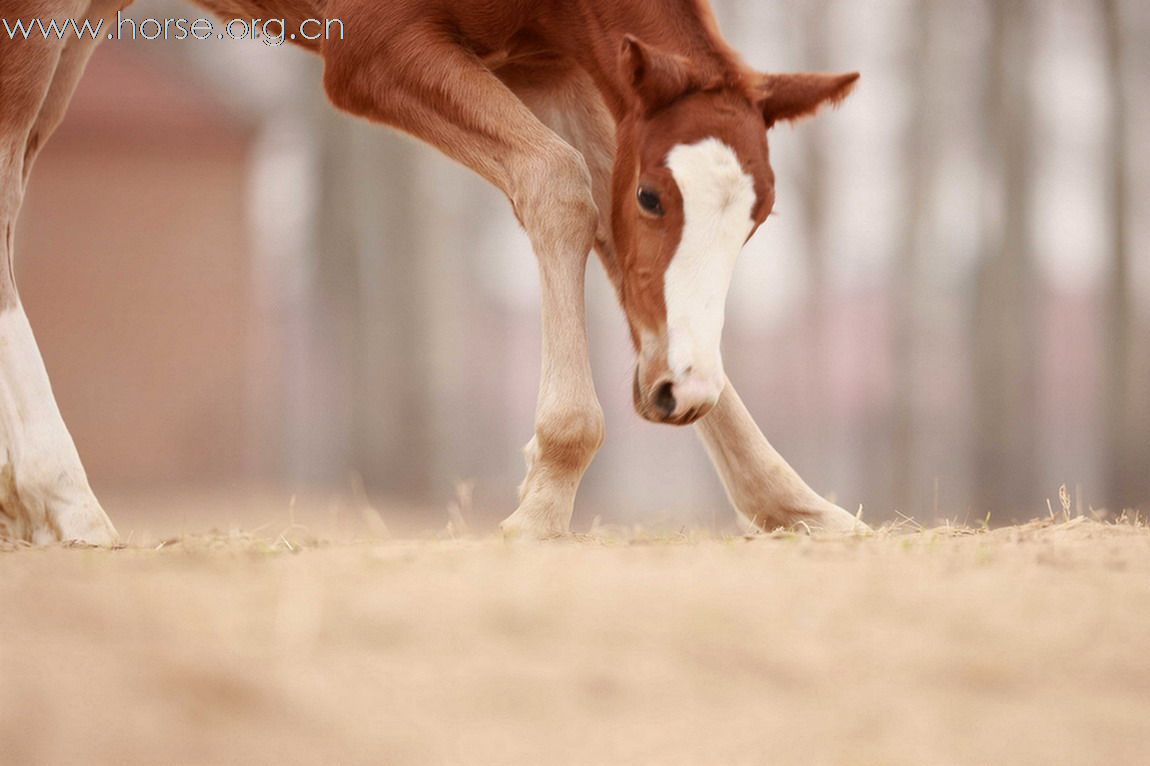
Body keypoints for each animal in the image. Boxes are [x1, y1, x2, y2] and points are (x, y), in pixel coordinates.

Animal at [0, 0, 864, 542]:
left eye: (759, 219)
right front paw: (547, 493)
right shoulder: (369, 45)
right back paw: (68, 503)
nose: (681, 391)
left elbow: (602, 220)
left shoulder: (548, 64)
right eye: (654, 196)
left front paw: (798, 506)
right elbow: (561, 185)